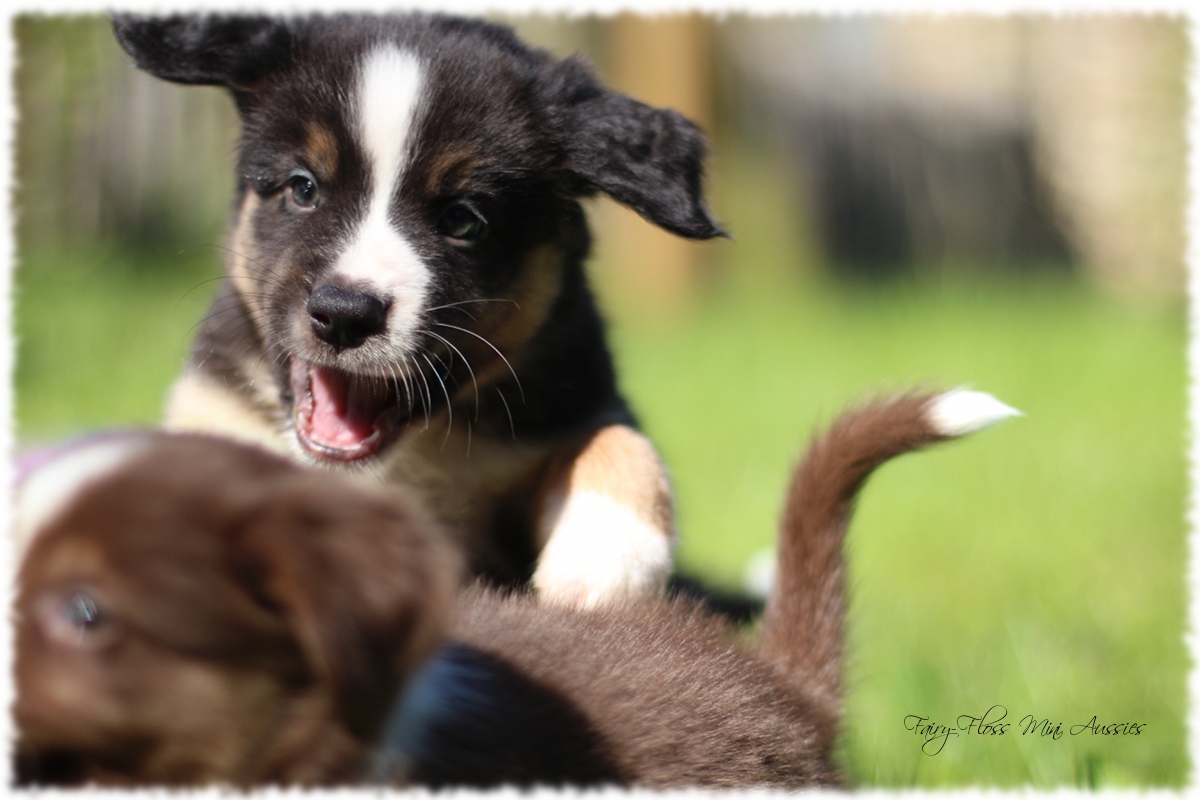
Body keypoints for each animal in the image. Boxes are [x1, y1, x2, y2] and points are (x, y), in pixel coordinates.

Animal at [112, 12, 724, 604]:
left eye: (463, 220)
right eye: (303, 188)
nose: (344, 314)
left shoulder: (574, 402)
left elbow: (623, 441)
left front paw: (605, 552)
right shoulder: (212, 409)